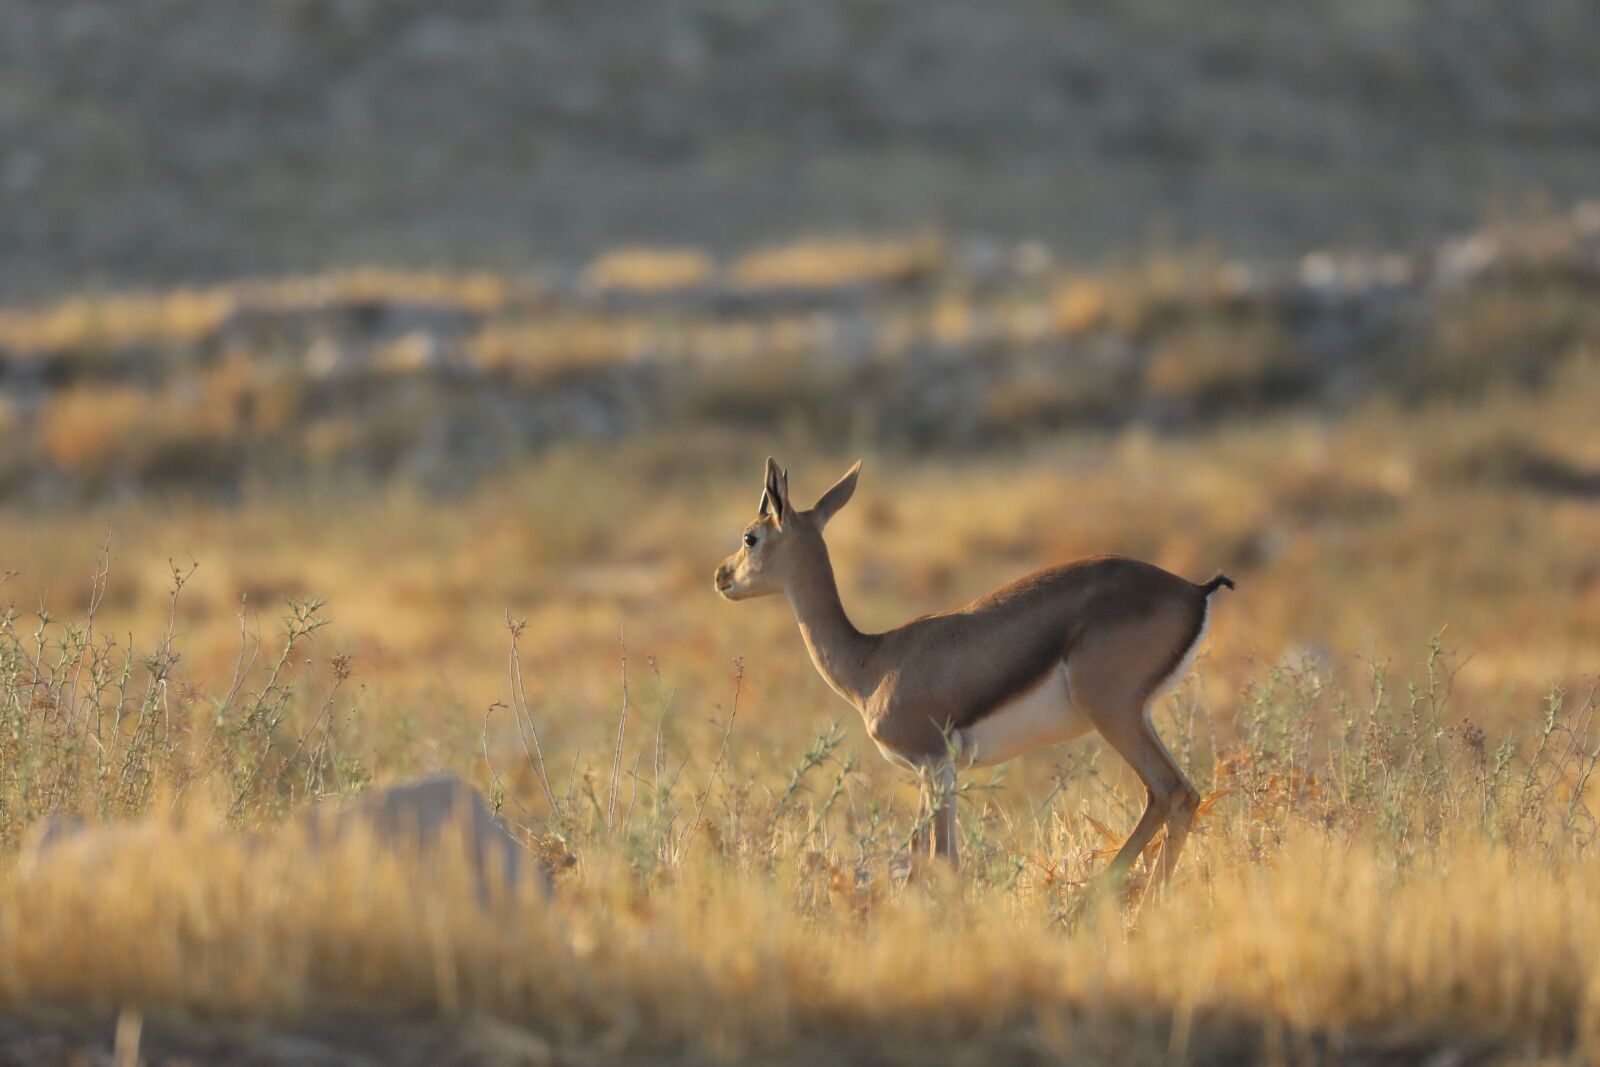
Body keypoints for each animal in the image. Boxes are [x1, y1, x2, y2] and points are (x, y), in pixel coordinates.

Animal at [713, 458, 1233, 889]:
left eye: (750, 536)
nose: (721, 576)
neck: (871, 663)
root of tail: (1192, 589)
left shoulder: (932, 763)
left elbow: (940, 860)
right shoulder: (938, 771)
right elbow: (929, 857)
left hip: (1112, 713)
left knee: (1170, 792)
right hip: (1137, 716)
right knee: (1177, 796)